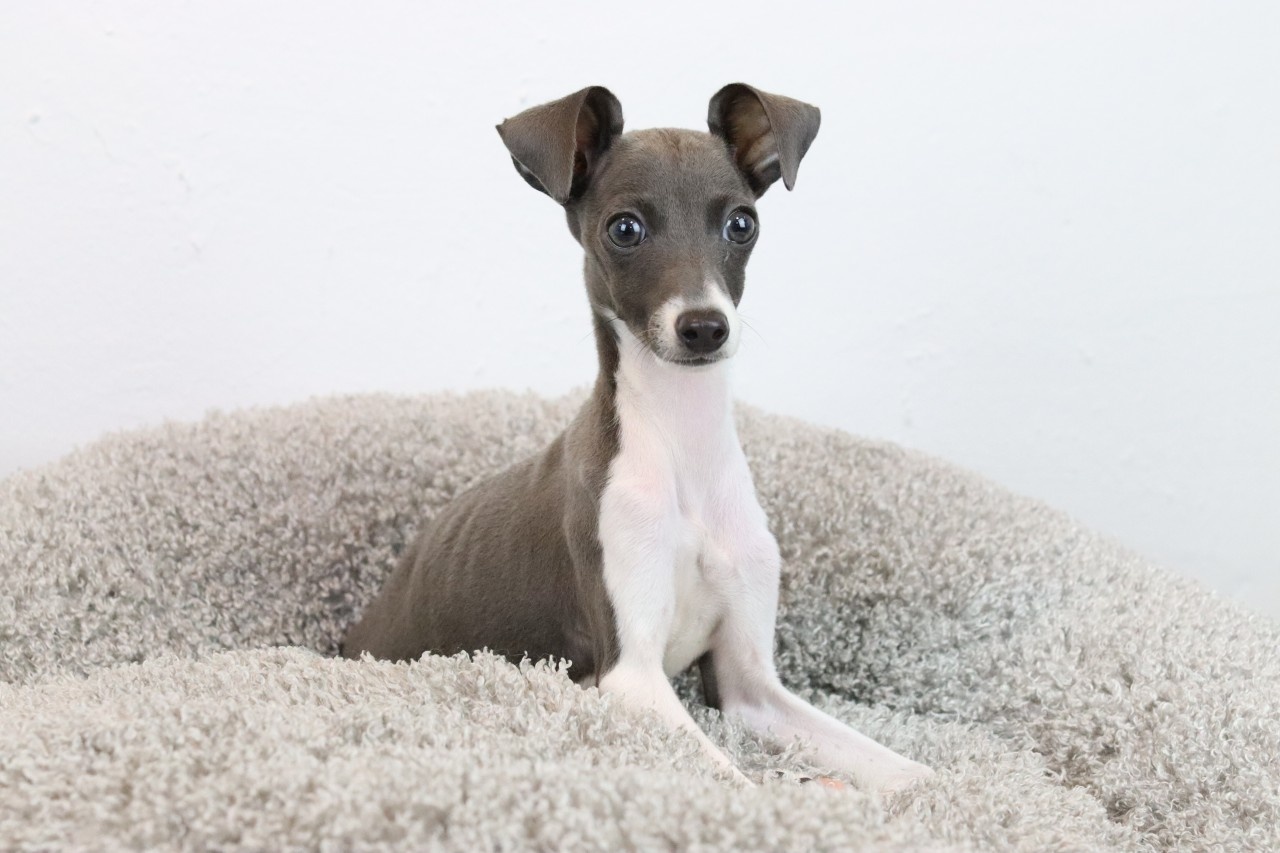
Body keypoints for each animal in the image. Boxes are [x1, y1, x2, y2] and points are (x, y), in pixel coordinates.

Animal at [342, 84, 933, 793]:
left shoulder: (750, 686)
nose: (703, 327)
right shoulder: (628, 675)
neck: (683, 447)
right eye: (624, 228)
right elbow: (741, 786)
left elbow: (908, 772)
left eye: (742, 223)